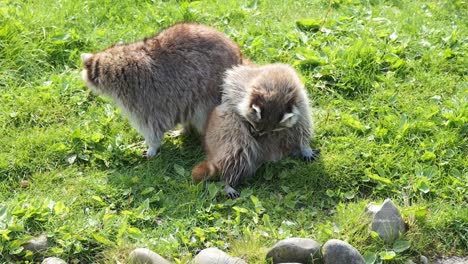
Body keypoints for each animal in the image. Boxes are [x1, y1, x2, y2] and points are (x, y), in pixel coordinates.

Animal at [81, 22, 243, 157]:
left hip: (209, 95)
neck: (119, 61)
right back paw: (186, 129)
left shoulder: (143, 97)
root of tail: (238, 57)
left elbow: (151, 126)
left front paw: (152, 147)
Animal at [192, 63, 320, 198]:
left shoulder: (300, 101)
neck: (277, 86)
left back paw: (295, 151)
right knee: (236, 148)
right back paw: (227, 181)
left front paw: (304, 147)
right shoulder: (238, 85)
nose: (255, 135)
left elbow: (302, 126)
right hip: (227, 134)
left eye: (267, 131)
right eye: (252, 125)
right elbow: (229, 94)